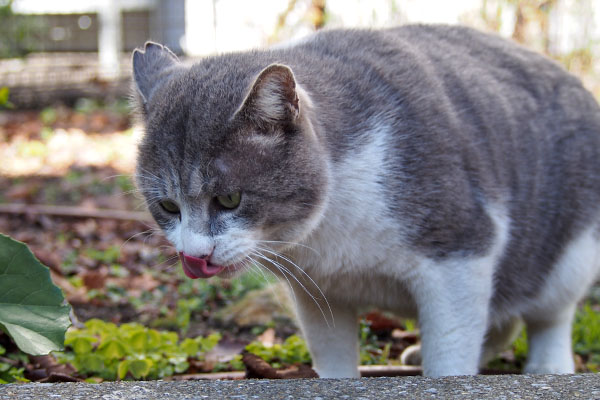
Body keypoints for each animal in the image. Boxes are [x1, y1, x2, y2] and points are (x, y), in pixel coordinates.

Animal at [131, 25, 600, 378]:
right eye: (168, 207)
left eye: (229, 198)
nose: (194, 255)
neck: (330, 231)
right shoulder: (318, 288)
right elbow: (334, 356)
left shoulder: (460, 250)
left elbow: (451, 347)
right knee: (501, 317)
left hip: (570, 252)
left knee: (550, 314)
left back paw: (548, 366)